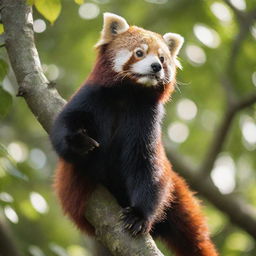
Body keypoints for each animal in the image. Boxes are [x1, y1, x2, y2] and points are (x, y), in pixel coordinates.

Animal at [50, 12, 218, 256]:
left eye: (162, 58)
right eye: (139, 52)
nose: (156, 66)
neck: (128, 93)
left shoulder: (146, 121)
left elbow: (146, 166)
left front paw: (139, 216)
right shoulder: (90, 97)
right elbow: (61, 128)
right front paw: (79, 142)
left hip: (176, 193)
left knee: (192, 232)